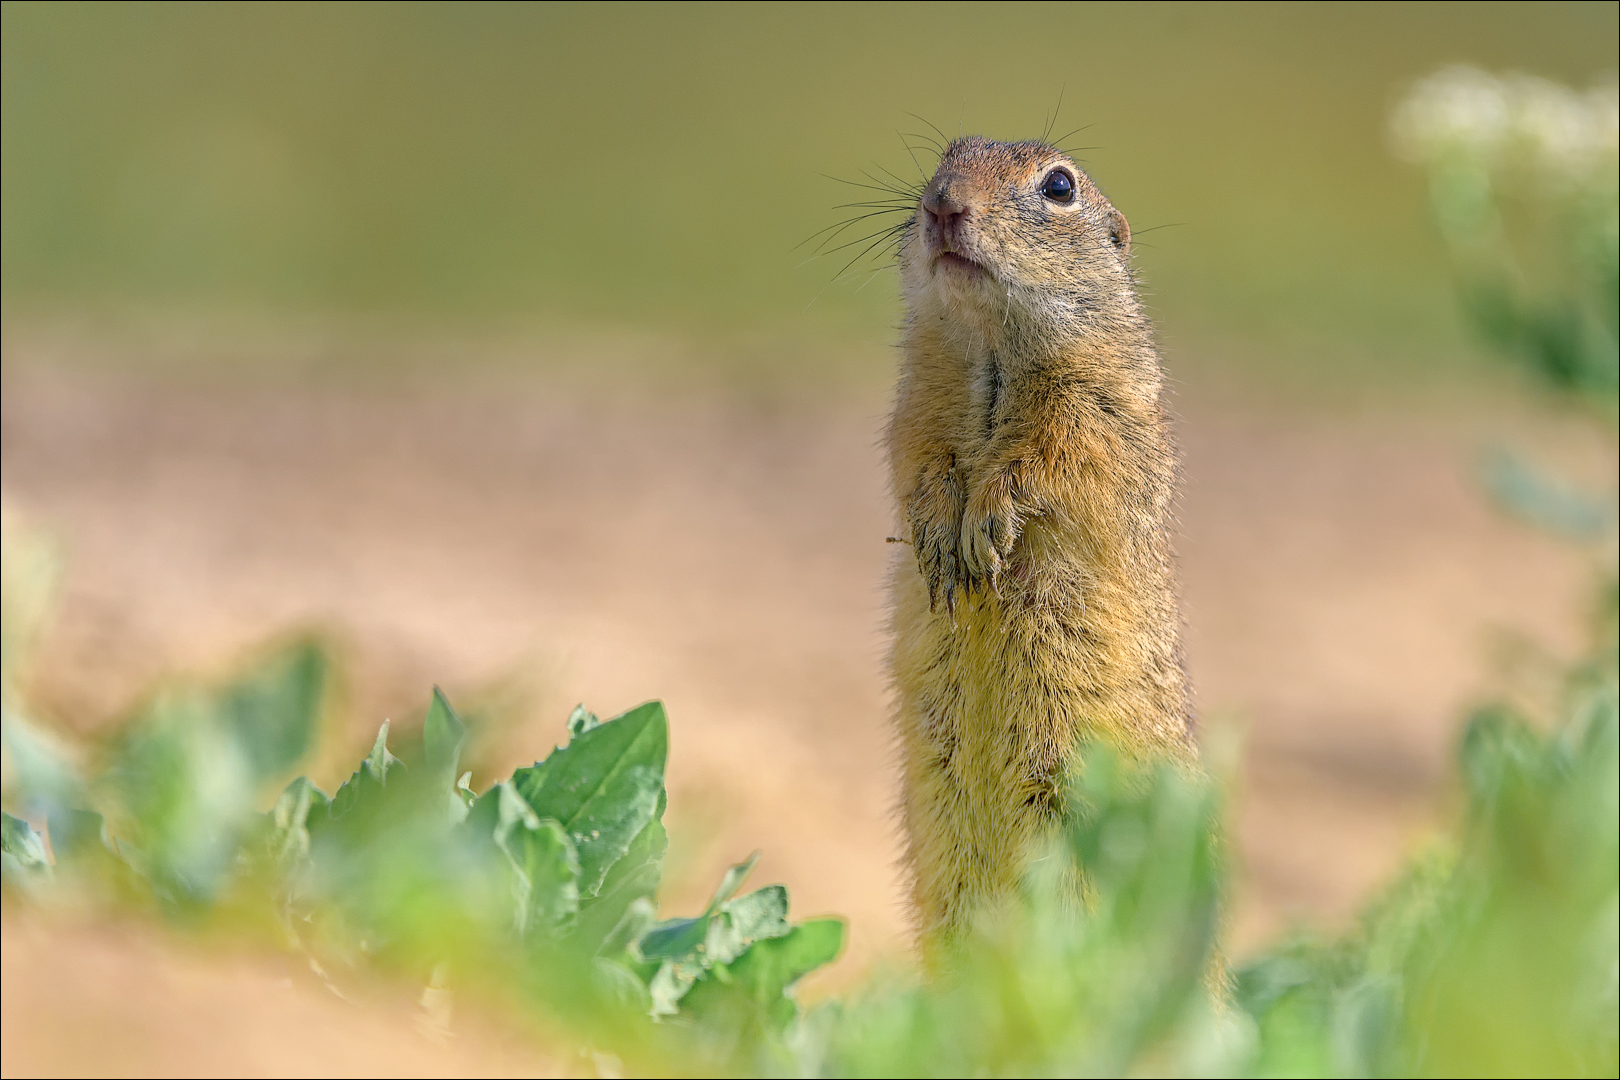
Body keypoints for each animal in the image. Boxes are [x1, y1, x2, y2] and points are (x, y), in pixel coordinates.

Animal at [887, 135, 1192, 945]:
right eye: (946, 157)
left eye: (1058, 187)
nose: (943, 203)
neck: (990, 350)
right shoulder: (915, 400)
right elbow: (916, 456)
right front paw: (940, 537)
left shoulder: (1098, 408)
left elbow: (1053, 462)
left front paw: (988, 526)